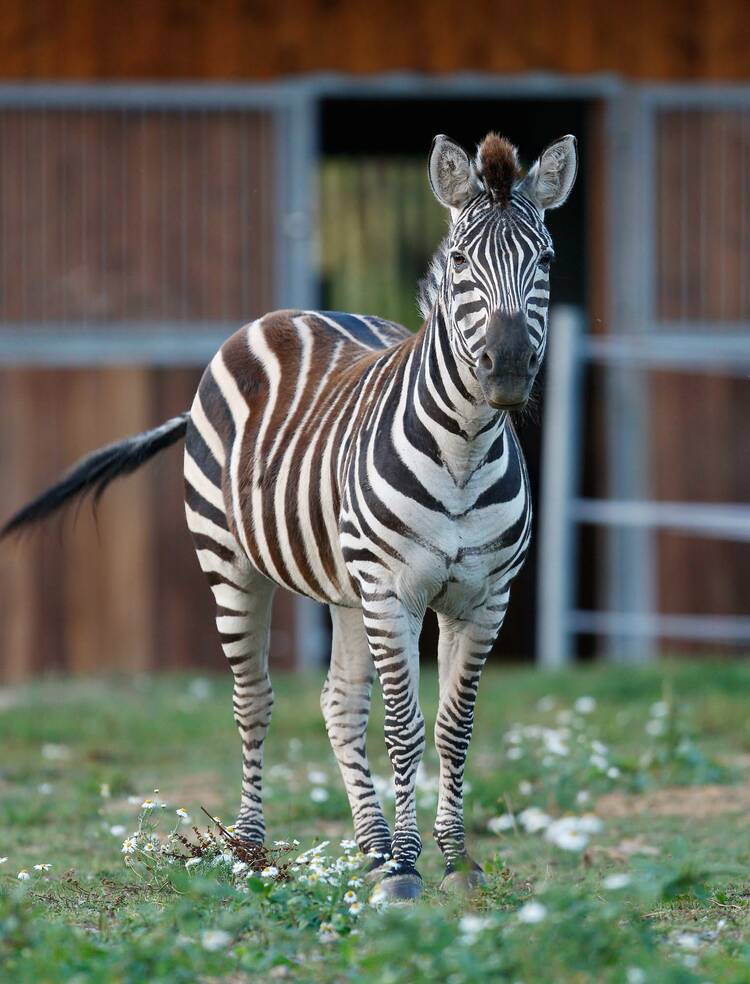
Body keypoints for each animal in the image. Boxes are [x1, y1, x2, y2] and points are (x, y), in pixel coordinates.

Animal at [1, 131, 576, 900]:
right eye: (459, 261)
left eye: (545, 260)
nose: (507, 369)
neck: (463, 450)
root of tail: (287, 315)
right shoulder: (392, 592)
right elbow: (403, 726)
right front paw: (407, 872)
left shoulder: (483, 600)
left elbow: (453, 729)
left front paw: (454, 863)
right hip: (234, 566)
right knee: (255, 699)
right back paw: (249, 848)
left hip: (345, 588)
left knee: (338, 705)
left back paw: (371, 847)